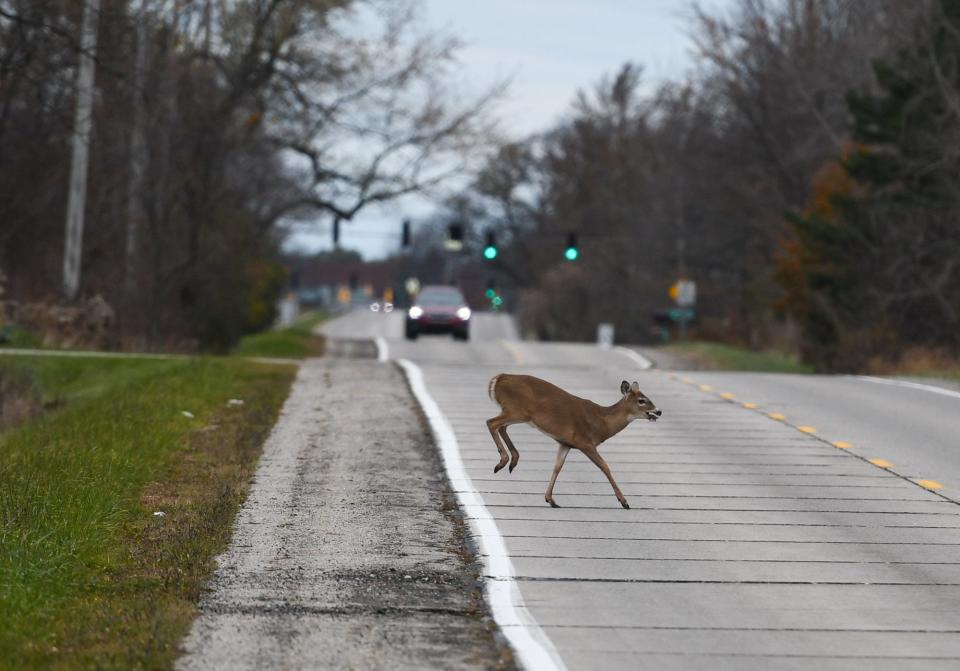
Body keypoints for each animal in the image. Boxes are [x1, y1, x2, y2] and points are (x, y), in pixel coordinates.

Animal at [488, 372, 660, 510]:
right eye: (641, 400)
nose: (659, 411)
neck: (602, 422)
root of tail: (499, 377)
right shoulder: (585, 442)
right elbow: (605, 466)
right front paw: (624, 502)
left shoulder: (565, 443)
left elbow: (557, 467)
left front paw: (550, 500)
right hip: (517, 410)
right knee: (492, 422)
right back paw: (503, 461)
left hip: (516, 412)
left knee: (501, 427)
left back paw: (512, 461)